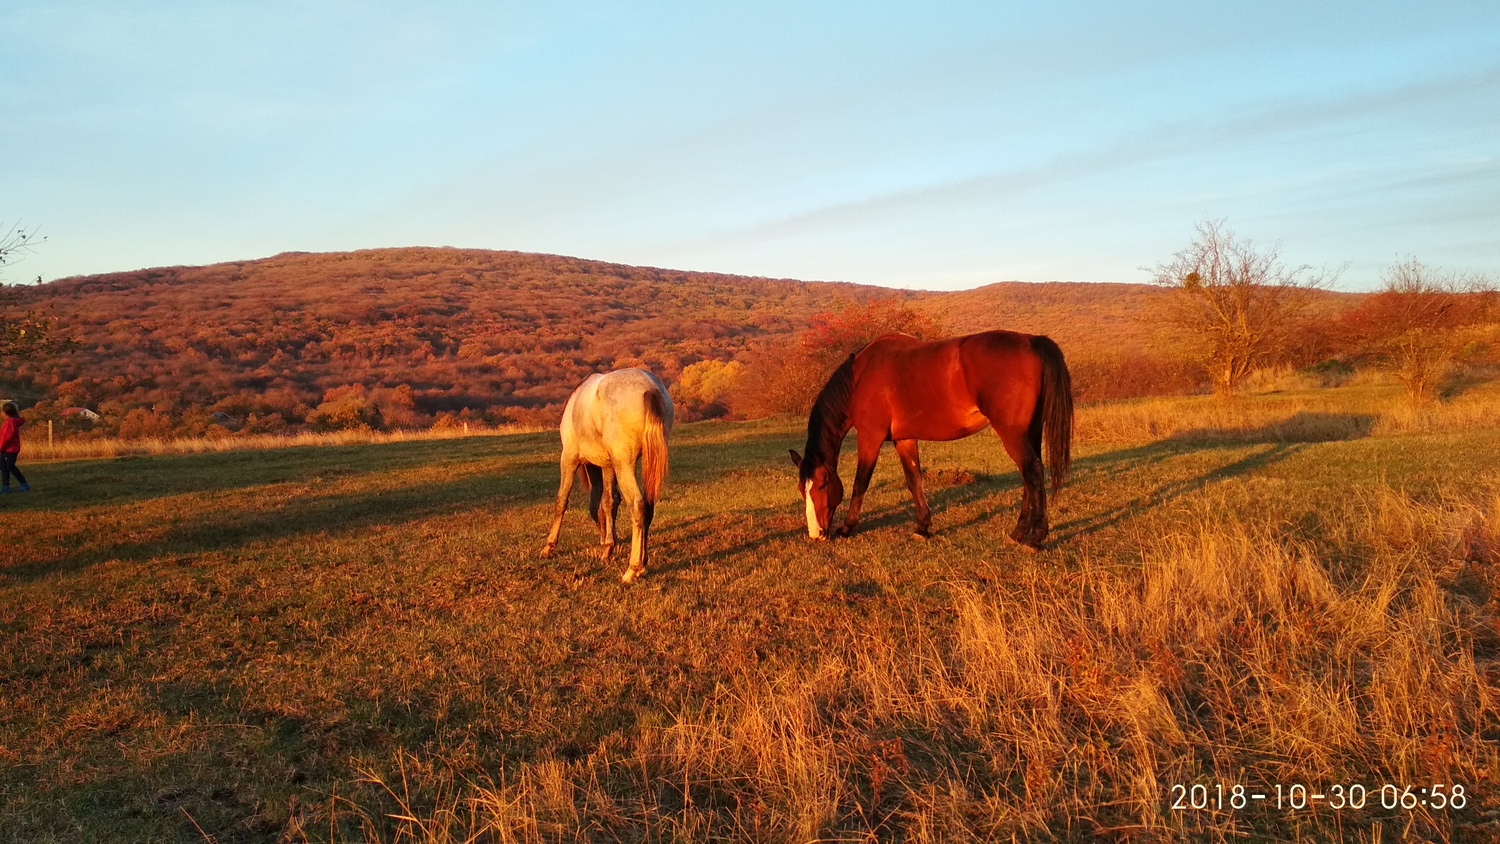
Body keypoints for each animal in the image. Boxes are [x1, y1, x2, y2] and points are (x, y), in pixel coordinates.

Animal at [540, 368, 675, 581]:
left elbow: (561, 501)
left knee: (637, 505)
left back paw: (632, 569)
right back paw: (642, 564)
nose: (604, 540)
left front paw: (549, 546)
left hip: (624, 464)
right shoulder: (608, 465)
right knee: (648, 506)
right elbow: (609, 501)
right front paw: (608, 548)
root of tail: (650, 388)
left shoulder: (569, 457)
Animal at [792, 334, 1074, 551]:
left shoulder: (870, 437)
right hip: (1029, 431)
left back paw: (1035, 539)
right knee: (1030, 476)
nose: (816, 534)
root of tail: (1030, 341)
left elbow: (860, 482)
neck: (860, 377)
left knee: (1032, 472)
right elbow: (914, 479)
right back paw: (1018, 533)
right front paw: (923, 527)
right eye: (801, 489)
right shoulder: (904, 439)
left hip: (1013, 434)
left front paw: (848, 527)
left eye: (822, 485)